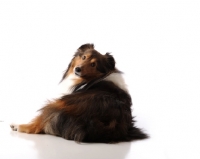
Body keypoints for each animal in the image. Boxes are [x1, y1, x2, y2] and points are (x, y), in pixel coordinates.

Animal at [10, 43, 148, 143]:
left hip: (57, 104)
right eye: (83, 57)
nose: (77, 69)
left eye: (93, 64)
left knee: (36, 126)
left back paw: (17, 125)